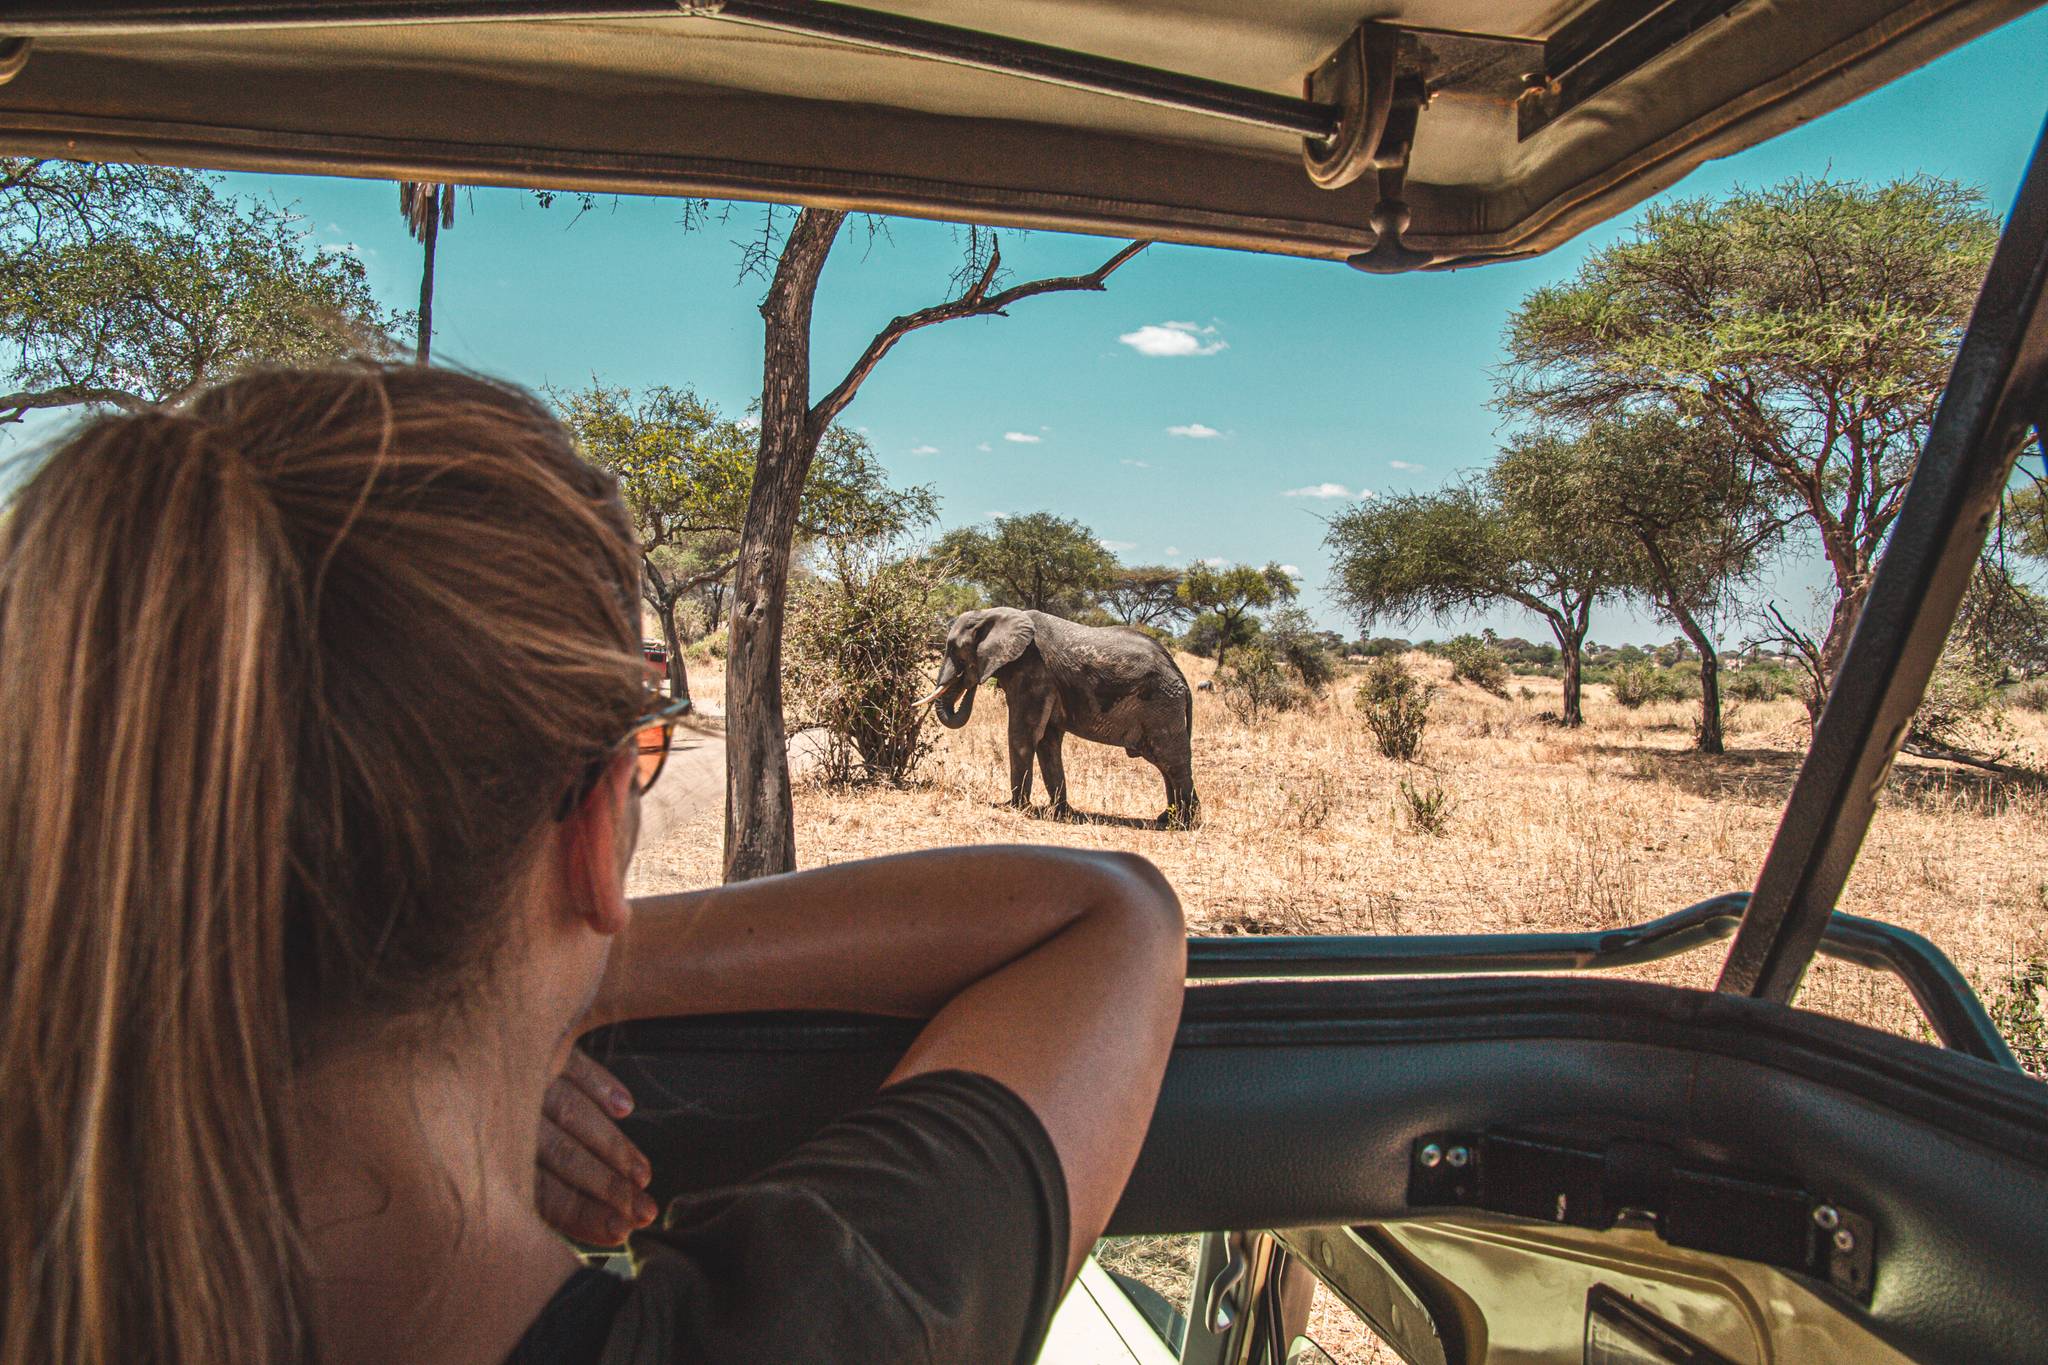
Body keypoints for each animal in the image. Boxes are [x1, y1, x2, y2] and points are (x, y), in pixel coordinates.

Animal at [917, 613, 1196, 826]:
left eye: (955, 652)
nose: (969, 679)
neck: (992, 615)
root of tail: (1179, 674)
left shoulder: (1033, 671)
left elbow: (1023, 735)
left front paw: (1015, 807)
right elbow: (1047, 741)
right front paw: (1061, 812)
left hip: (1162, 705)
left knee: (1171, 760)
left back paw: (1183, 823)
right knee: (1163, 763)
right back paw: (1166, 818)